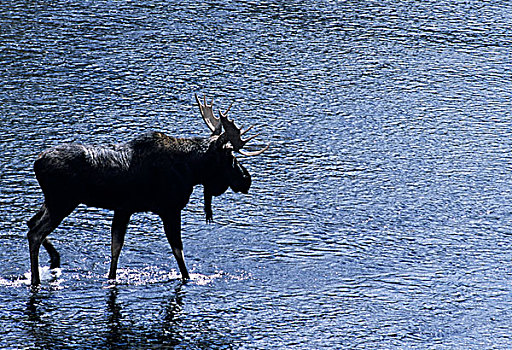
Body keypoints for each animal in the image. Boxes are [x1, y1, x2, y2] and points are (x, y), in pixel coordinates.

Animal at [26, 94, 268, 286]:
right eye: (230, 157)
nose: (246, 179)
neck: (192, 170)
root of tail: (37, 163)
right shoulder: (170, 208)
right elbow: (177, 250)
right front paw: (187, 277)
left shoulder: (123, 209)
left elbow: (115, 248)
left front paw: (112, 277)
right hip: (63, 201)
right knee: (35, 232)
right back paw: (36, 278)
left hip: (52, 201)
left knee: (30, 223)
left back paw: (53, 260)